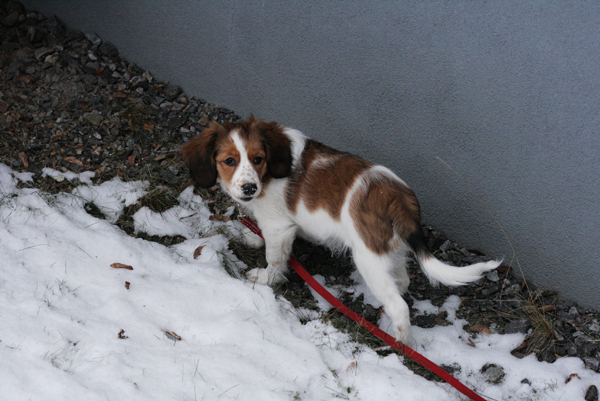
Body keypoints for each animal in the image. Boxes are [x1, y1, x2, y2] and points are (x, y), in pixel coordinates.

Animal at [182, 116, 501, 343]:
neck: (268, 174)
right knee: (401, 283)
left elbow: (275, 258)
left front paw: (266, 279)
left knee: (399, 306)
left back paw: (397, 345)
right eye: (229, 161)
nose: (249, 188)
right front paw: (250, 236)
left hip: (368, 257)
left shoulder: (279, 226)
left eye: (258, 159)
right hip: (389, 249)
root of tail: (398, 197)